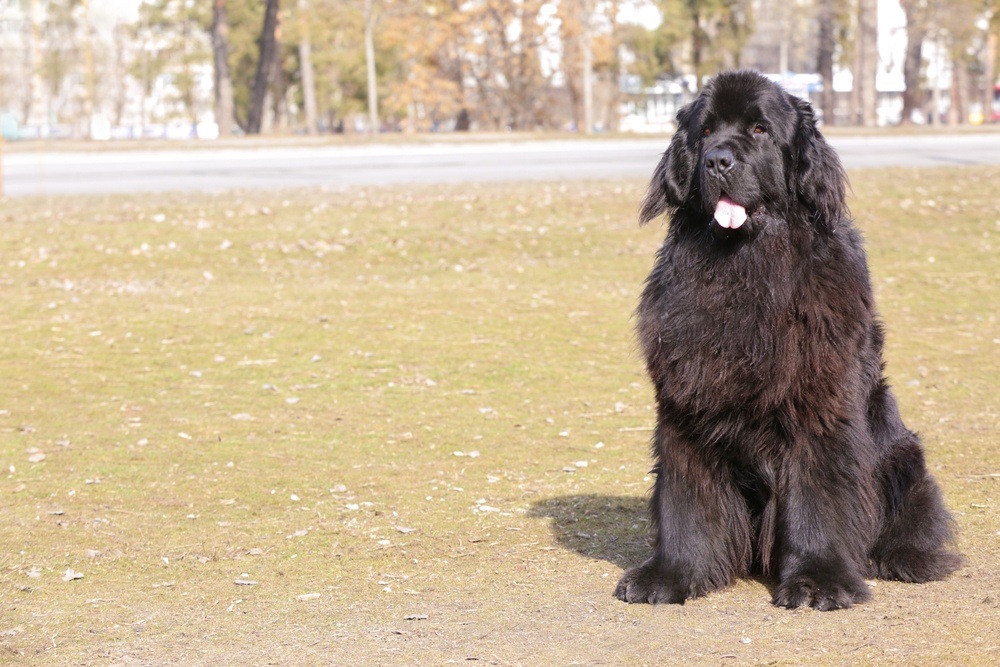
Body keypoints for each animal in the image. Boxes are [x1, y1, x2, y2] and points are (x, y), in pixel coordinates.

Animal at [612, 72, 964, 612]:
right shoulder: (685, 405)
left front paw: (818, 581)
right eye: (706, 131)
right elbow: (685, 498)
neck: (745, 265)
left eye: (759, 130)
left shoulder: (817, 406)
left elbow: (816, 496)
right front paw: (671, 574)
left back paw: (901, 557)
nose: (718, 160)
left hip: (903, 457)